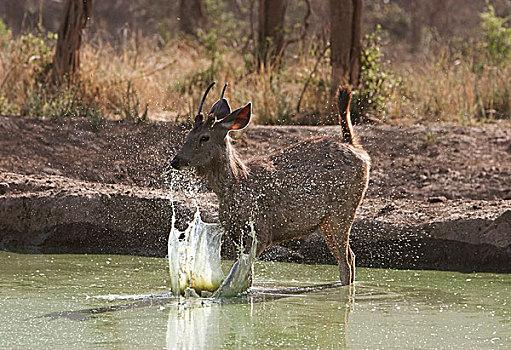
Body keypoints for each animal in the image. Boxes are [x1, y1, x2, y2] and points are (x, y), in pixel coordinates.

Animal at [173, 82, 372, 284]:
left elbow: (242, 274)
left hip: (344, 208)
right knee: (349, 256)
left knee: (346, 261)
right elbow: (245, 276)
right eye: (188, 134)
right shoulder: (234, 233)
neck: (236, 187)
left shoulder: (261, 230)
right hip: (325, 221)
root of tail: (357, 148)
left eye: (204, 137)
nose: (176, 161)